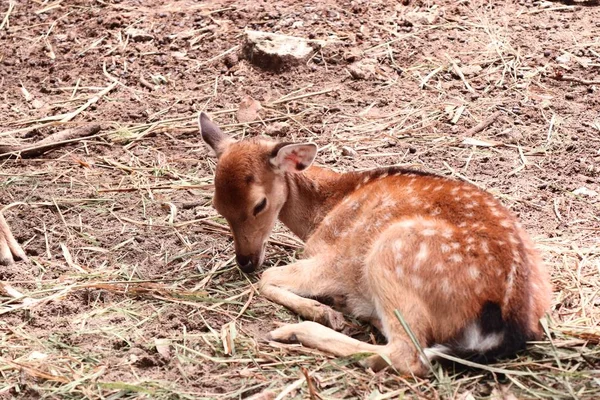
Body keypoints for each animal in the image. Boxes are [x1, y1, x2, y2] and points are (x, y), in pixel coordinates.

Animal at [200, 111, 552, 376]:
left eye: (259, 204)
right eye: (217, 205)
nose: (245, 260)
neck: (325, 209)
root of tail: (510, 321)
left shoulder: (334, 257)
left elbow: (268, 278)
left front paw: (321, 310)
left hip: (390, 255)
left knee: (407, 355)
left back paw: (298, 329)